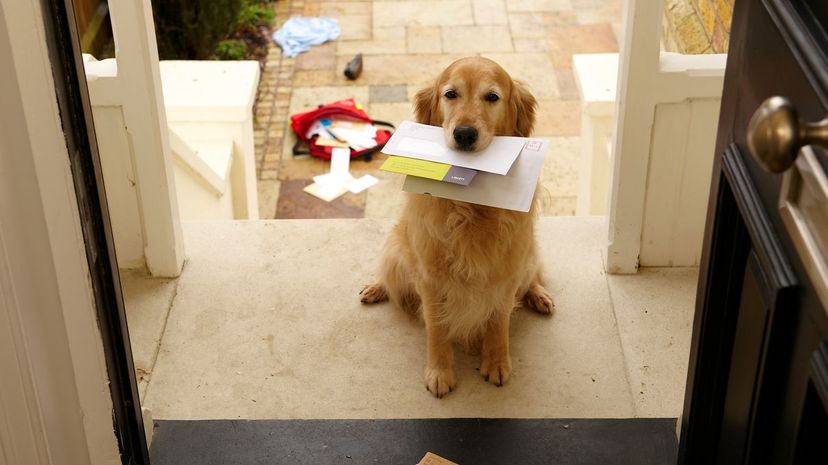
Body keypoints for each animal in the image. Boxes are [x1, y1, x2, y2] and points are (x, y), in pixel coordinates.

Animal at [360, 56, 552, 396]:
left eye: (492, 97)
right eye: (450, 94)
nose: (464, 133)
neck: (470, 208)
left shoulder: (506, 272)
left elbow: (499, 321)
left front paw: (497, 362)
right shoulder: (430, 276)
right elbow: (436, 327)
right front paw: (440, 372)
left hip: (528, 256)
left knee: (533, 278)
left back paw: (539, 295)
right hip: (396, 250)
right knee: (390, 275)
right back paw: (376, 287)